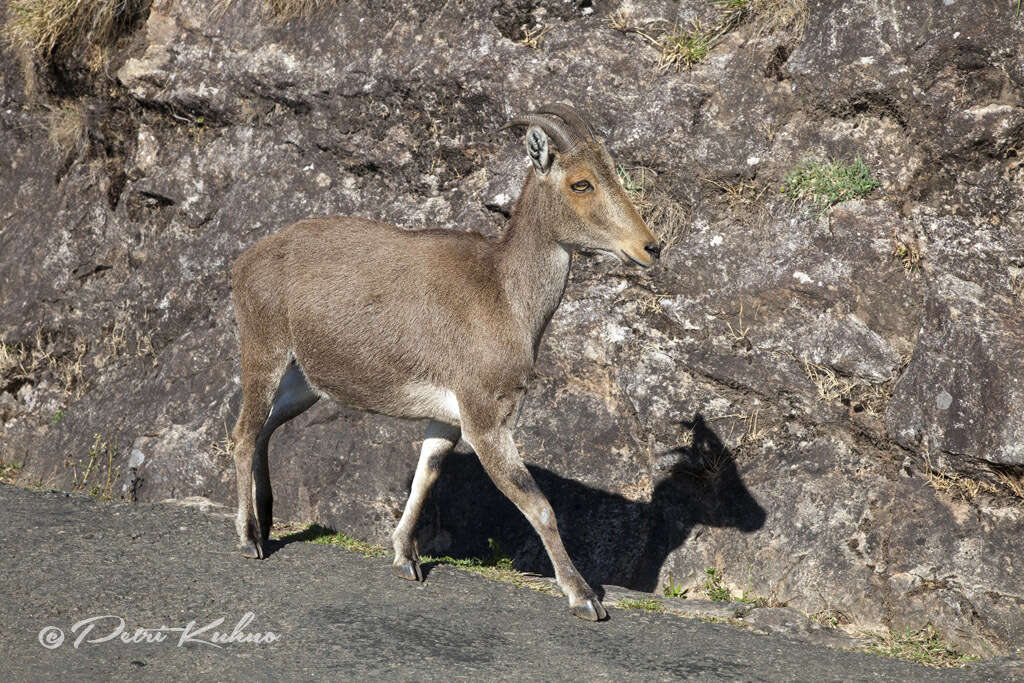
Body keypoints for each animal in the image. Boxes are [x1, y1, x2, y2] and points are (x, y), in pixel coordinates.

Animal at [231, 104, 659, 622]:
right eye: (581, 183)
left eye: (612, 171)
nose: (650, 247)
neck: (505, 295)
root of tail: (244, 263)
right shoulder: (485, 416)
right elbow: (538, 505)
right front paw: (584, 597)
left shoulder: (449, 416)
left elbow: (426, 475)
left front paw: (405, 559)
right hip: (264, 351)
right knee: (243, 434)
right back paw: (250, 538)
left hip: (303, 383)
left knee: (265, 429)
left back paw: (267, 520)